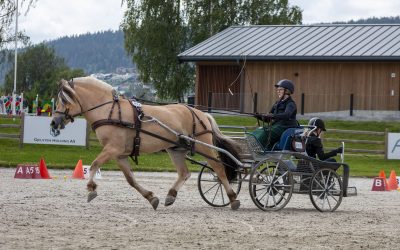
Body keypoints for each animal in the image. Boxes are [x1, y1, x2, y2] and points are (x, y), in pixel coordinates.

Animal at [51, 77, 242, 210]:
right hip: (176, 150)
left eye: (65, 100)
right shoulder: (119, 154)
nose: (54, 122)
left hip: (204, 146)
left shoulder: (112, 149)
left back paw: (233, 198)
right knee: (184, 173)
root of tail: (201, 113)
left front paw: (91, 188)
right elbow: (130, 179)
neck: (109, 110)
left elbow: (94, 165)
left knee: (219, 168)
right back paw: (171, 195)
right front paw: (151, 198)